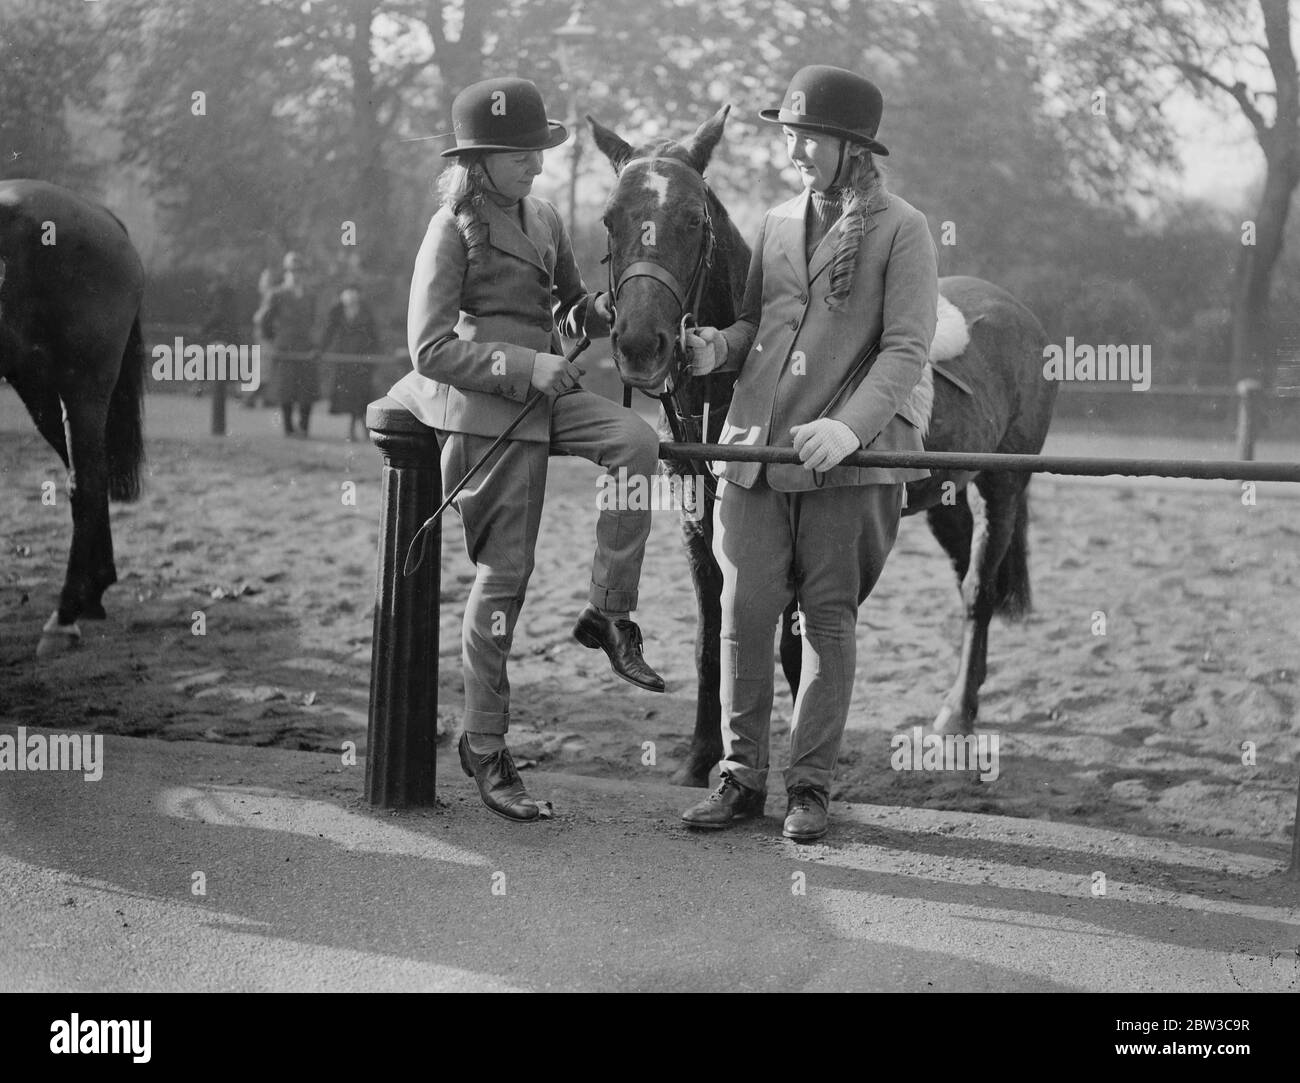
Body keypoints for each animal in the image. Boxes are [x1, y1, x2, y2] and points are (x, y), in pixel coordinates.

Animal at [0, 178, 147, 655]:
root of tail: (101, 215)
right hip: (36, 385)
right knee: (83, 474)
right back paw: (91, 593)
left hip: (80, 384)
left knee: (87, 481)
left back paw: (64, 617)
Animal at [595, 111, 1060, 785]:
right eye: (611, 218)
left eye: (693, 220)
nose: (639, 345)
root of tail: (1019, 314)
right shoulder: (702, 529)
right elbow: (712, 634)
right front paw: (702, 757)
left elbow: (796, 643)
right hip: (946, 495)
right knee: (970, 579)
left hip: (1004, 486)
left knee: (979, 588)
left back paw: (956, 717)